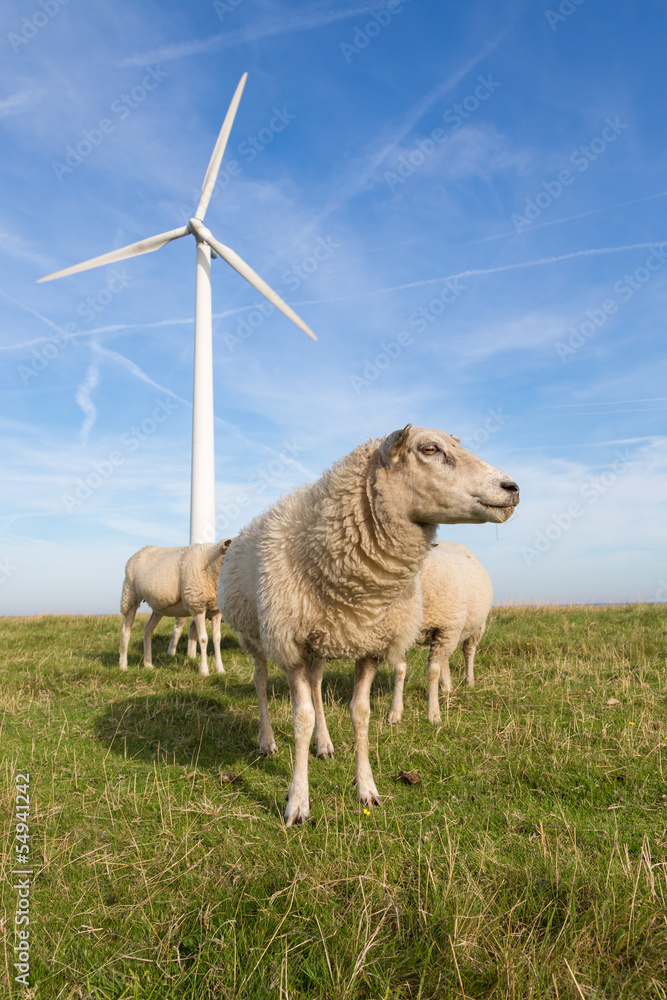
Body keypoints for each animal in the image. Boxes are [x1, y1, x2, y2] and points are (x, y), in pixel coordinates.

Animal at [119, 540, 232, 680]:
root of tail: (140, 550)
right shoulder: (197, 605)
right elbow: (203, 639)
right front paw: (204, 671)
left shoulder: (216, 609)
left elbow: (217, 638)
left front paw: (220, 669)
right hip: (130, 594)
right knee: (126, 631)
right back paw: (123, 665)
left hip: (159, 607)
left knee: (147, 630)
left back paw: (148, 664)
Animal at [386, 540, 496, 728]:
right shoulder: (402, 634)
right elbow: (399, 671)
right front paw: (395, 713)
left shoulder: (446, 628)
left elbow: (432, 672)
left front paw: (433, 714)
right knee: (445, 658)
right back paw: (447, 686)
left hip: (472, 626)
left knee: (468, 652)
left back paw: (469, 681)